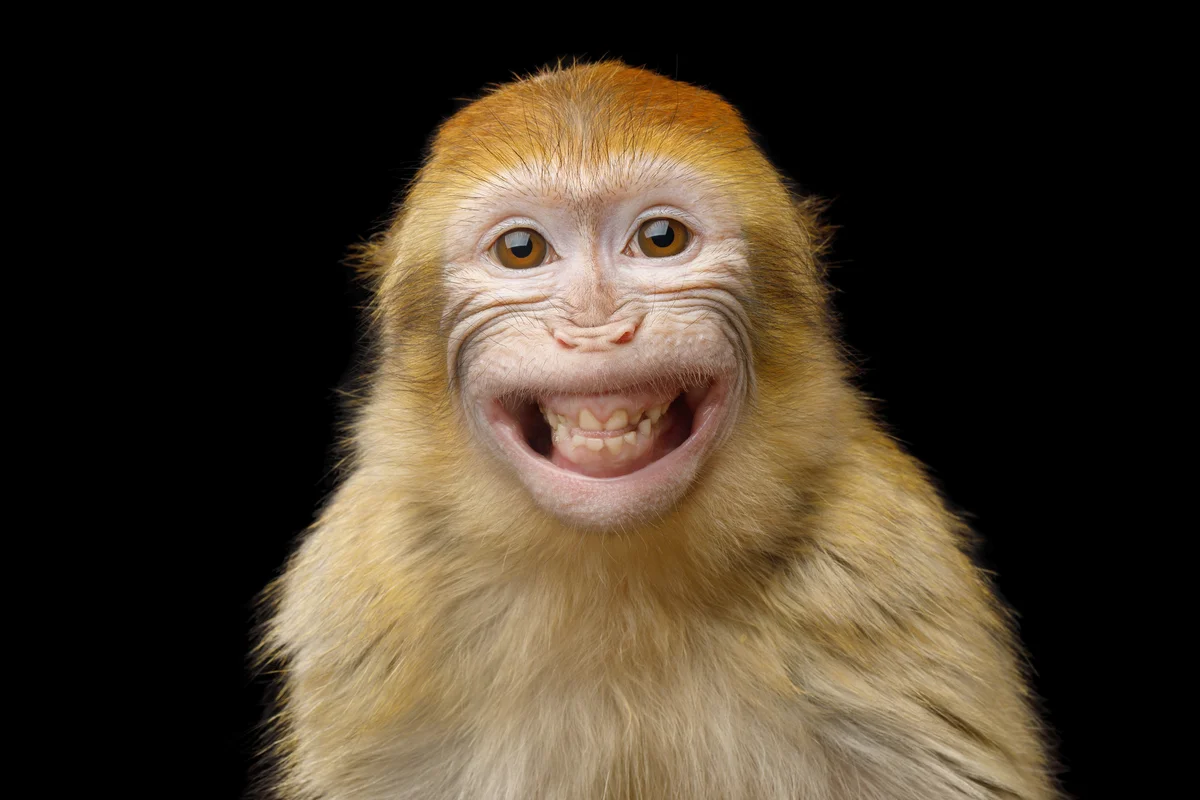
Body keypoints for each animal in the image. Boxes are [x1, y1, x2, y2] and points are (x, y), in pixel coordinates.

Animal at [258, 61, 1057, 799]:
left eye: (661, 238)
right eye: (522, 250)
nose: (596, 324)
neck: (616, 577)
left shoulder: (890, 570)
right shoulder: (362, 595)